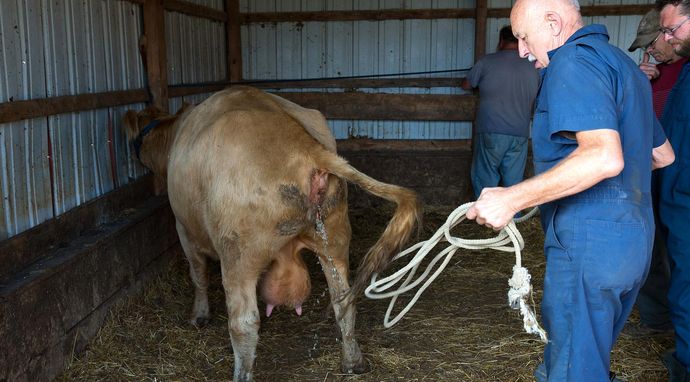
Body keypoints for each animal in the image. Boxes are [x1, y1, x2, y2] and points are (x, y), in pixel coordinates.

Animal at [121, 86, 416, 382]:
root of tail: (306, 148)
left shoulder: (184, 229)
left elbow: (198, 275)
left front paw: (199, 316)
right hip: (334, 238)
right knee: (343, 301)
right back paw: (353, 361)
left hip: (238, 253)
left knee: (244, 322)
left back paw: (242, 374)